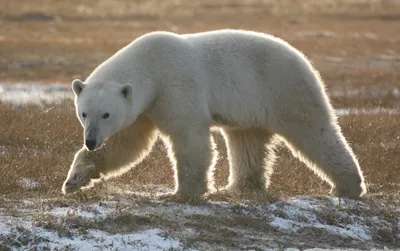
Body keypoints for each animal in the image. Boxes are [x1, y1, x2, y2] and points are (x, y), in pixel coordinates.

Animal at [61, 28, 366, 200]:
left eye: (106, 114)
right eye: (84, 113)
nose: (91, 140)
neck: (150, 65)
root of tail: (305, 60)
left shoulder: (174, 86)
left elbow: (189, 139)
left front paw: (183, 194)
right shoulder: (144, 106)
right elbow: (127, 145)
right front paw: (74, 180)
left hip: (283, 89)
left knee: (314, 132)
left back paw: (348, 187)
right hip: (252, 106)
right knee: (247, 142)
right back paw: (239, 188)